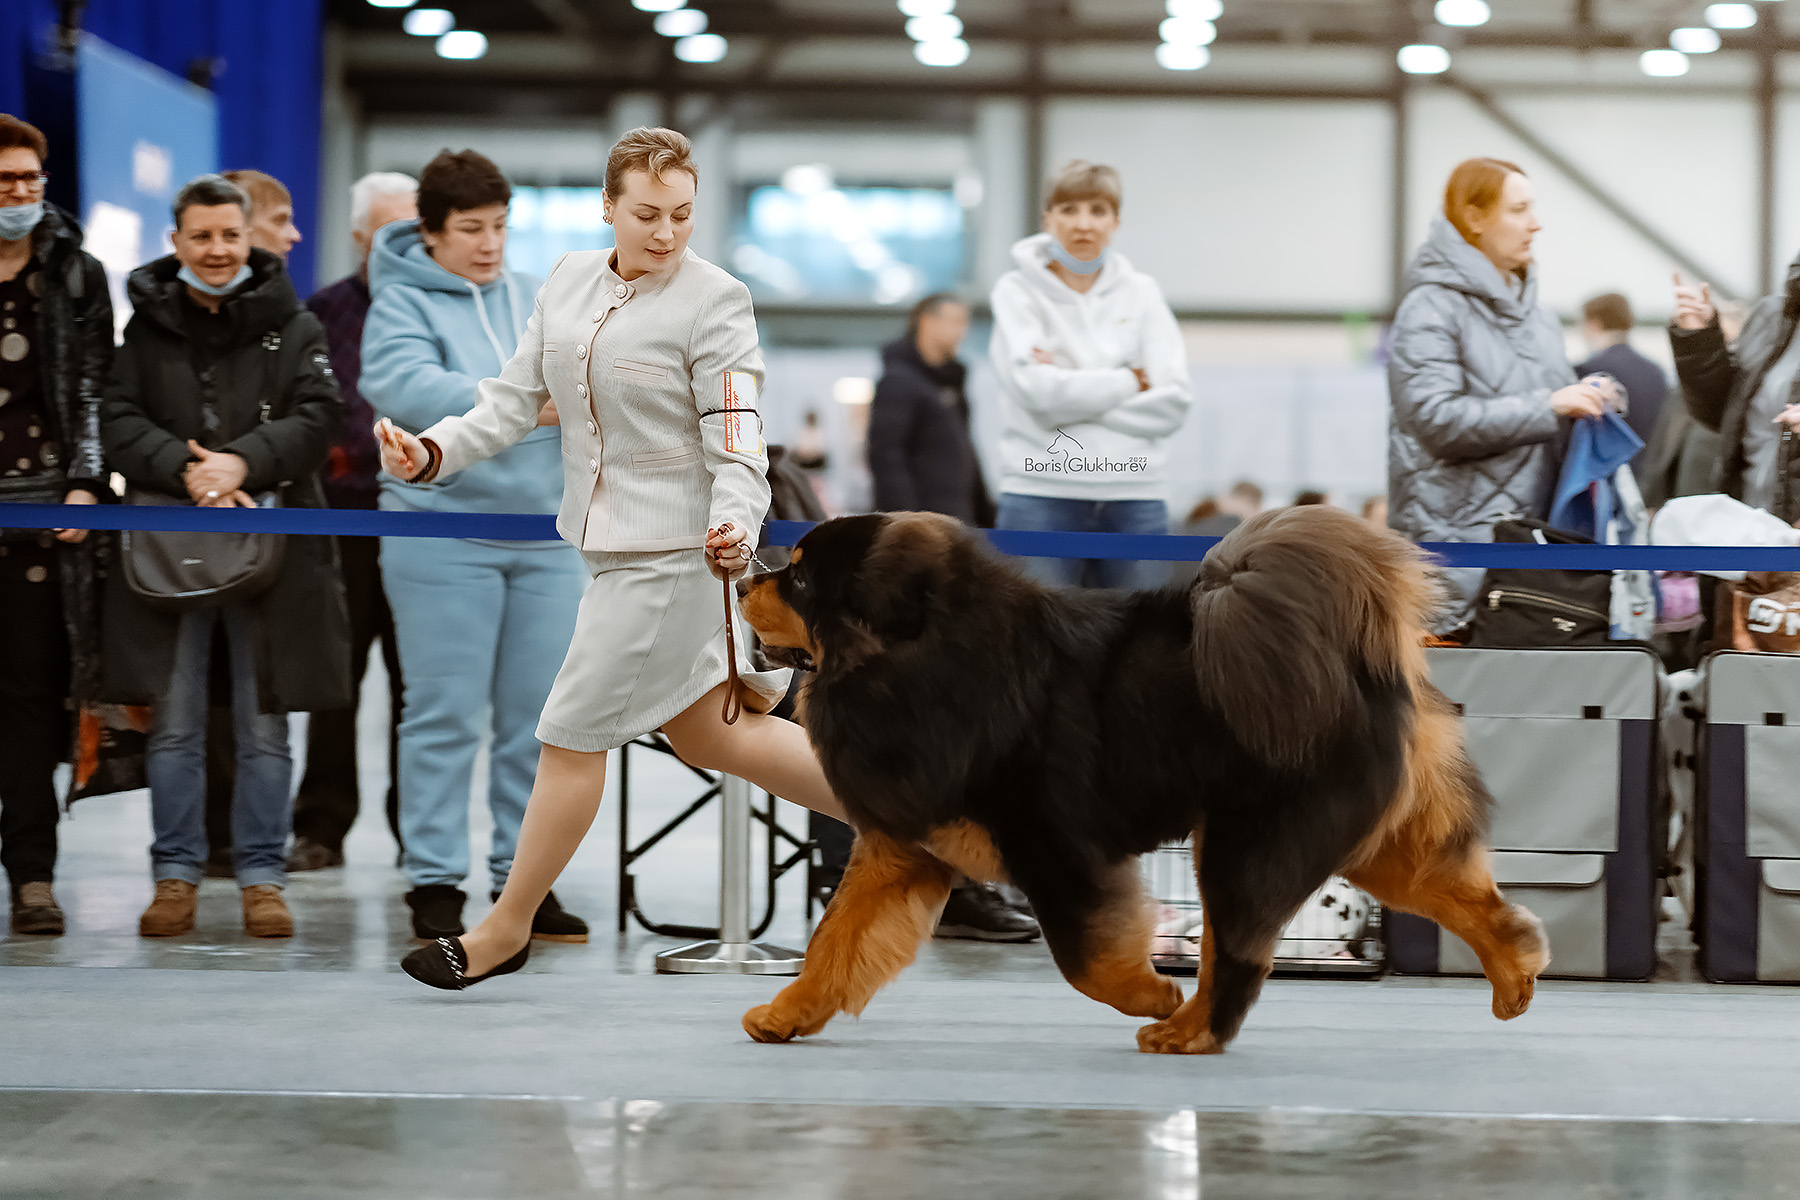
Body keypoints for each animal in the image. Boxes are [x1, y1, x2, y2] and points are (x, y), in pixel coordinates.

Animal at [736, 506, 1549, 1054]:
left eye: (800, 578)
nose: (742, 577)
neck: (919, 665)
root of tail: (1359, 664)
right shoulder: (902, 849)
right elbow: (836, 941)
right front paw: (785, 1014)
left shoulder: (1055, 847)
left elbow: (1085, 958)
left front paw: (1151, 993)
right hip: (1368, 845)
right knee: (1473, 903)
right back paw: (1516, 976)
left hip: (1246, 844)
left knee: (1240, 956)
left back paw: (1185, 1030)